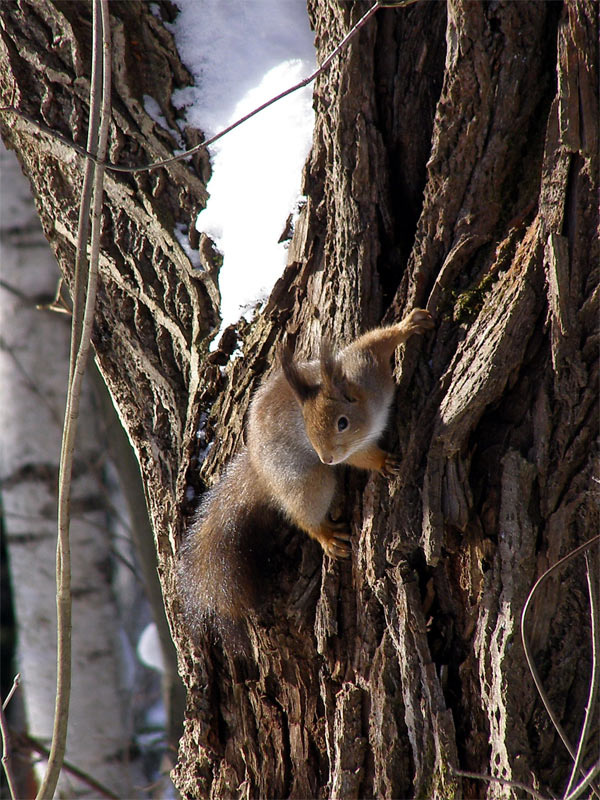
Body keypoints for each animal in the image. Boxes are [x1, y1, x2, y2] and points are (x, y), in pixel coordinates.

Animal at [178, 307, 434, 633]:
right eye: (308, 432)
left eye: (342, 422)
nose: (327, 457)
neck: (368, 412)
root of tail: (259, 468)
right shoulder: (353, 449)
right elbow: (361, 457)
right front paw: (383, 462)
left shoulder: (365, 367)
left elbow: (376, 340)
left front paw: (411, 324)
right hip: (308, 480)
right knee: (303, 514)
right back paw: (325, 534)